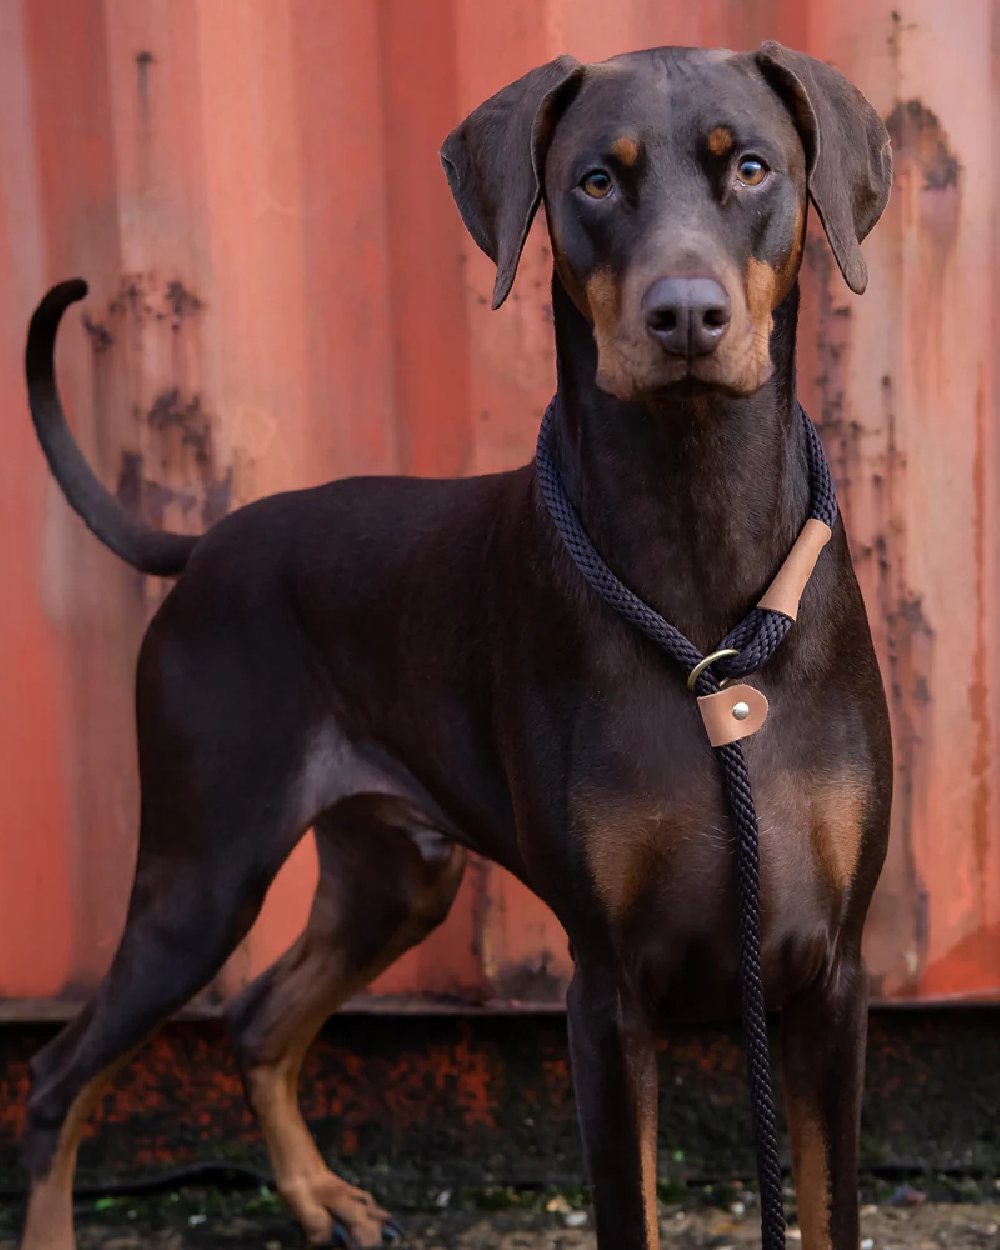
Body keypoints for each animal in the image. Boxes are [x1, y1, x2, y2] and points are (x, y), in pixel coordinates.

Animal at [19, 39, 890, 1250]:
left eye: (752, 166)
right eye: (595, 181)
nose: (685, 316)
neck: (701, 581)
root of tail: (206, 545)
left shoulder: (827, 978)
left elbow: (827, 1205)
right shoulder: (606, 992)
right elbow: (629, 1205)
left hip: (395, 872)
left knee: (257, 1018)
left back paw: (320, 1197)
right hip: (201, 875)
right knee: (62, 1073)